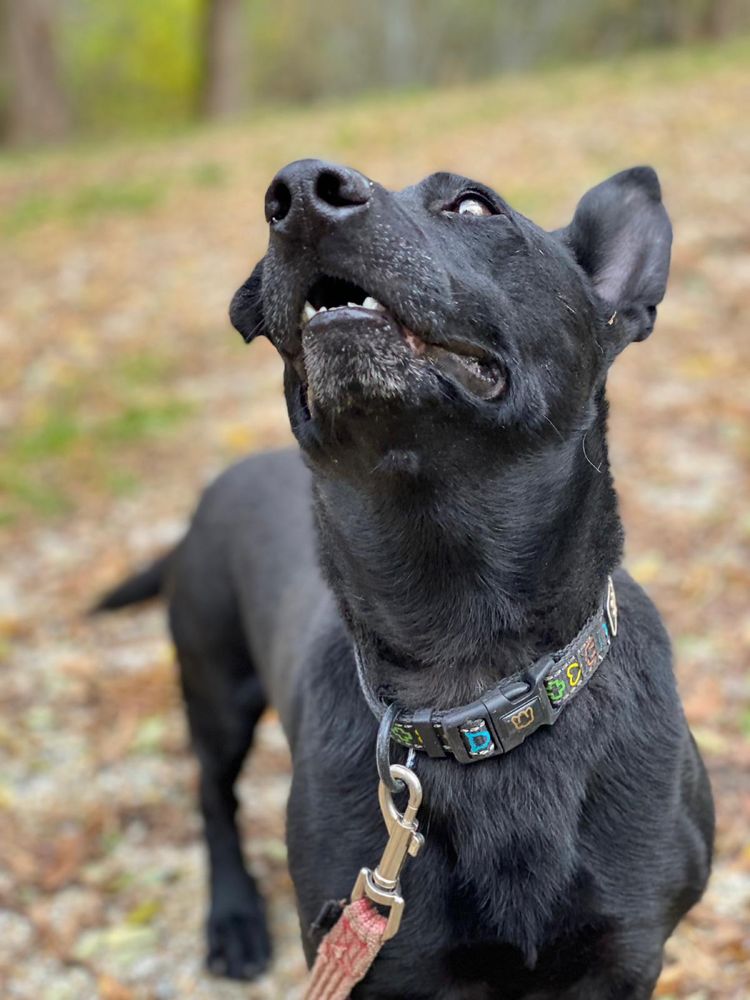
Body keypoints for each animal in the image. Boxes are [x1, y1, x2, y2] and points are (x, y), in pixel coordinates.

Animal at [100, 160, 716, 996]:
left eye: (474, 206)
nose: (298, 191)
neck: (470, 683)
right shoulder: (387, 966)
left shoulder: (624, 956)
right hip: (214, 687)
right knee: (213, 797)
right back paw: (232, 919)